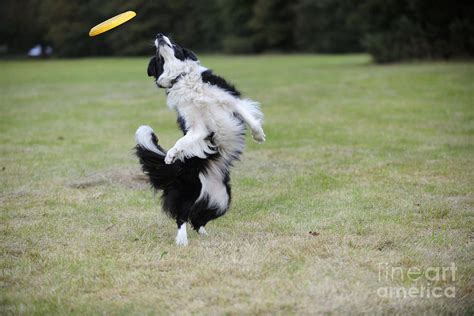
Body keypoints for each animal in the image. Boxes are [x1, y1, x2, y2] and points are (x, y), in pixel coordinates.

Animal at [135, 35, 264, 247]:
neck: (181, 77)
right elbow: (182, 142)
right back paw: (182, 240)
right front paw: (170, 155)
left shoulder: (228, 99)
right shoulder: (197, 127)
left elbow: (249, 116)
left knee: (198, 217)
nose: (159, 35)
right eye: (157, 56)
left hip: (222, 198)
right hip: (190, 191)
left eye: (175, 44)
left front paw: (259, 135)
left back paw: (204, 234)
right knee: (182, 216)